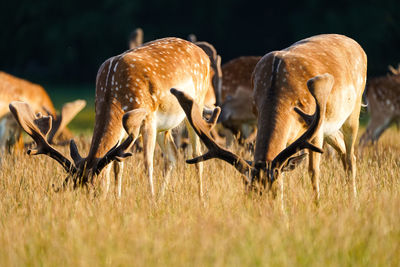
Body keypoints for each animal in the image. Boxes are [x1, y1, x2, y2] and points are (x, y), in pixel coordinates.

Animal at [9, 36, 212, 198]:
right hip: (165, 127)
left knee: (196, 154)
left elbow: (147, 162)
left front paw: (151, 201)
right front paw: (117, 199)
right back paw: (164, 196)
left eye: (92, 188)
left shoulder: (148, 118)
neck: (112, 95)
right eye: (74, 186)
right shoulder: (125, 129)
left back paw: (201, 199)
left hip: (196, 105)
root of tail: (204, 55)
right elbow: (117, 166)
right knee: (173, 156)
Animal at [170, 34, 368, 203]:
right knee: (344, 152)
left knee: (351, 156)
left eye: (274, 191)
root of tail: (358, 46)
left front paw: (316, 206)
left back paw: (354, 201)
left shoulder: (314, 127)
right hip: (331, 128)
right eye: (249, 192)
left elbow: (313, 171)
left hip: (353, 110)